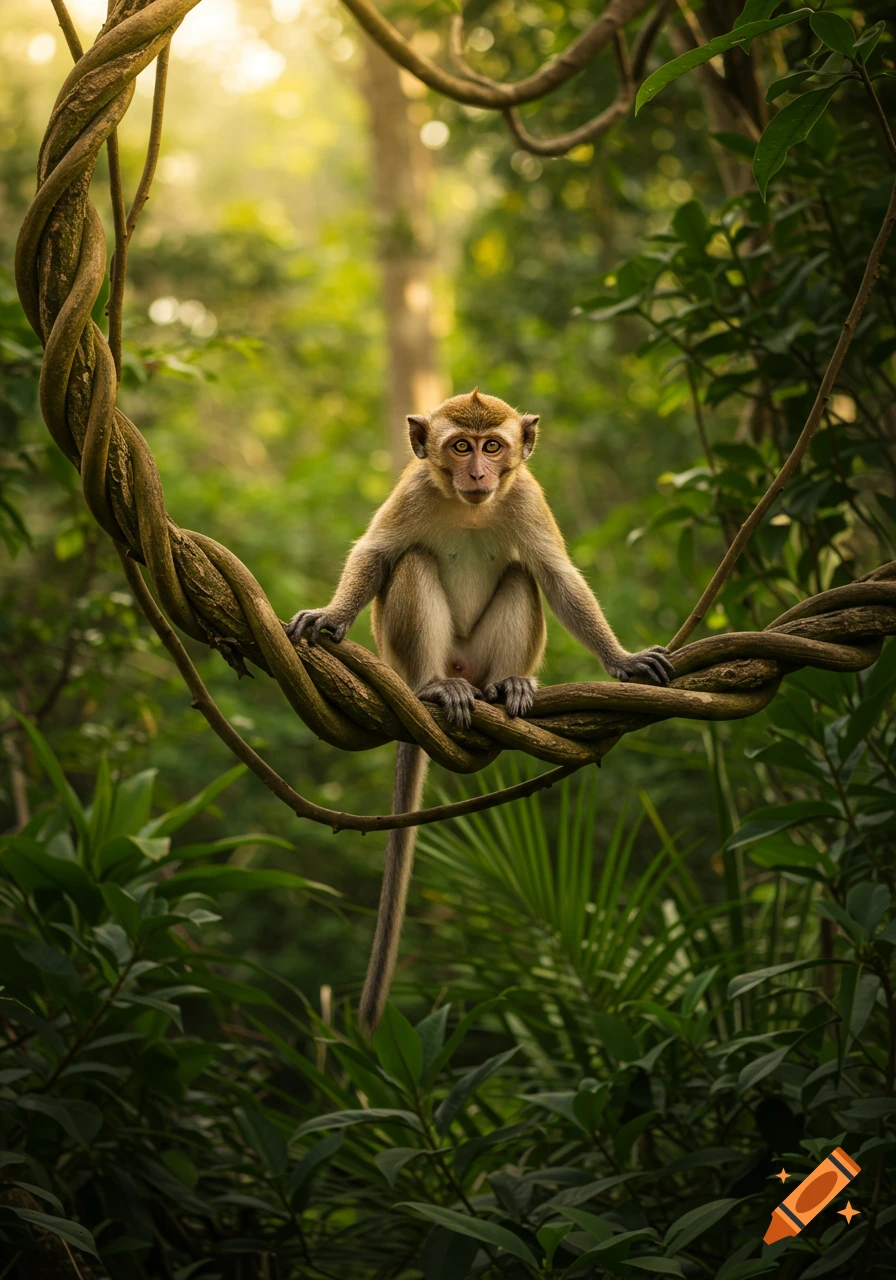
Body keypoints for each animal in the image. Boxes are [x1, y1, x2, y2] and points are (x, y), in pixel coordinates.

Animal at [286, 389, 673, 1035]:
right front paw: (332, 615)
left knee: (521, 574)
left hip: (483, 656)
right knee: (414, 562)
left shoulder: (527, 497)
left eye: (494, 446)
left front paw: (623, 660)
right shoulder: (413, 488)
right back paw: (435, 690)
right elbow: (377, 555)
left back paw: (508, 685)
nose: (478, 474)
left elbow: (557, 577)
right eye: (460, 446)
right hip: (409, 657)